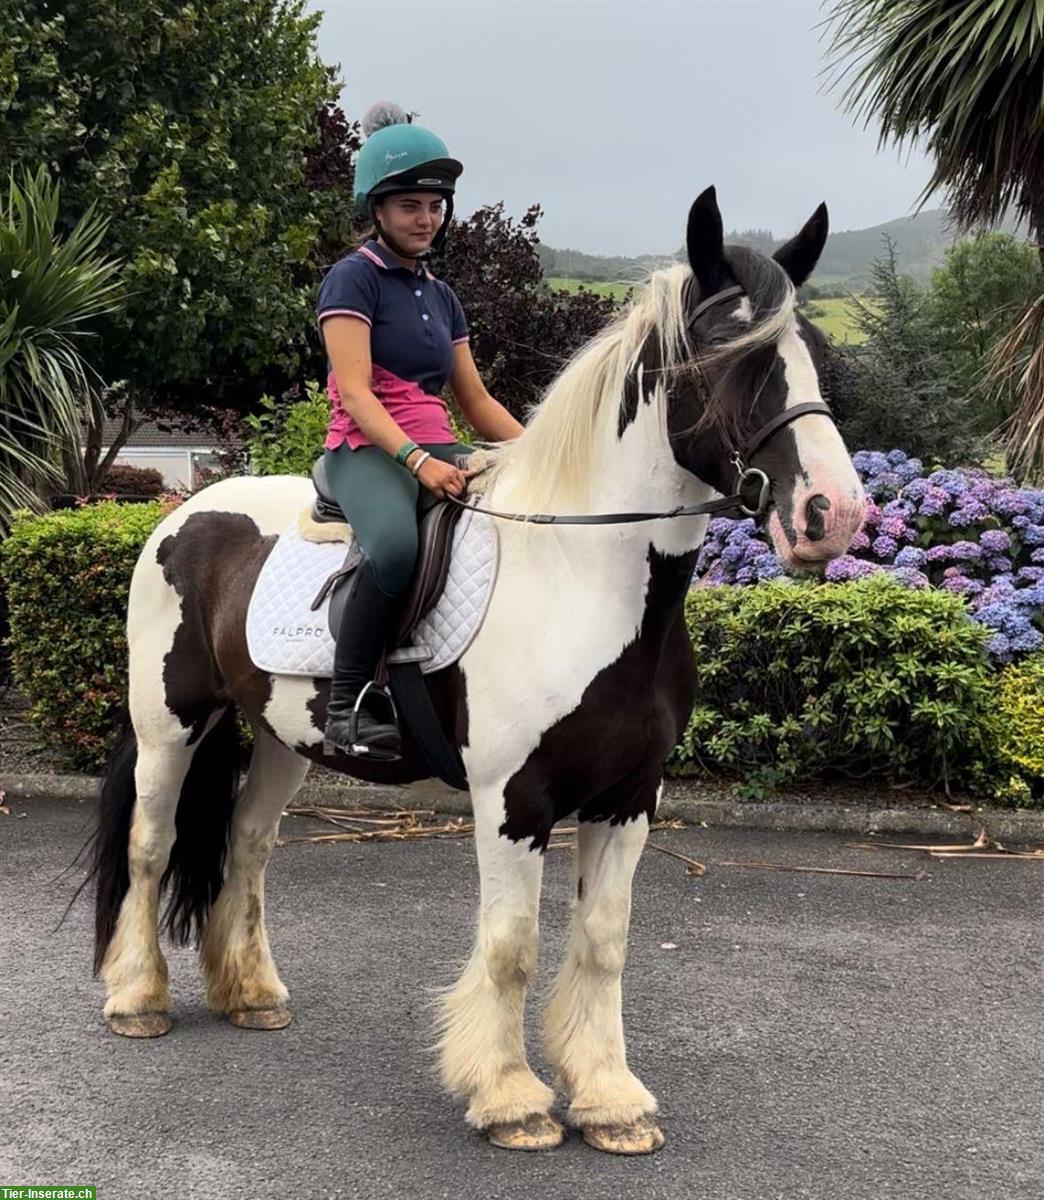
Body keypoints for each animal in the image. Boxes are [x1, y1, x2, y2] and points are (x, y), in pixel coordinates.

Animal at [84, 187, 868, 1152]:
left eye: (808, 353)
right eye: (733, 356)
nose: (834, 514)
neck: (583, 576)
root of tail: (185, 511)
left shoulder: (627, 797)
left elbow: (603, 941)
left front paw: (609, 1100)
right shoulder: (512, 800)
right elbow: (510, 947)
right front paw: (511, 1099)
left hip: (281, 739)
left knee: (248, 841)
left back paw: (252, 994)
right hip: (170, 724)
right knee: (149, 845)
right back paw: (138, 999)